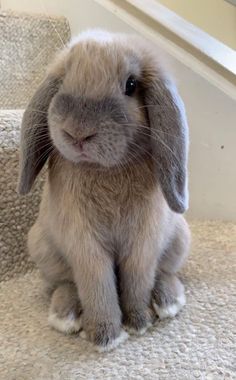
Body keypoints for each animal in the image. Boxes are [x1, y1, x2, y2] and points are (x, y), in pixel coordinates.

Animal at [18, 30, 192, 354]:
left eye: (131, 85)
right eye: (63, 80)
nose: (78, 133)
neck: (104, 169)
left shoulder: (143, 242)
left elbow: (138, 279)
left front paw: (138, 322)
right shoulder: (84, 245)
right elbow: (97, 285)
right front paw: (105, 336)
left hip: (179, 240)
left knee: (164, 272)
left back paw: (168, 300)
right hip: (42, 247)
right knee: (65, 283)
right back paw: (65, 314)